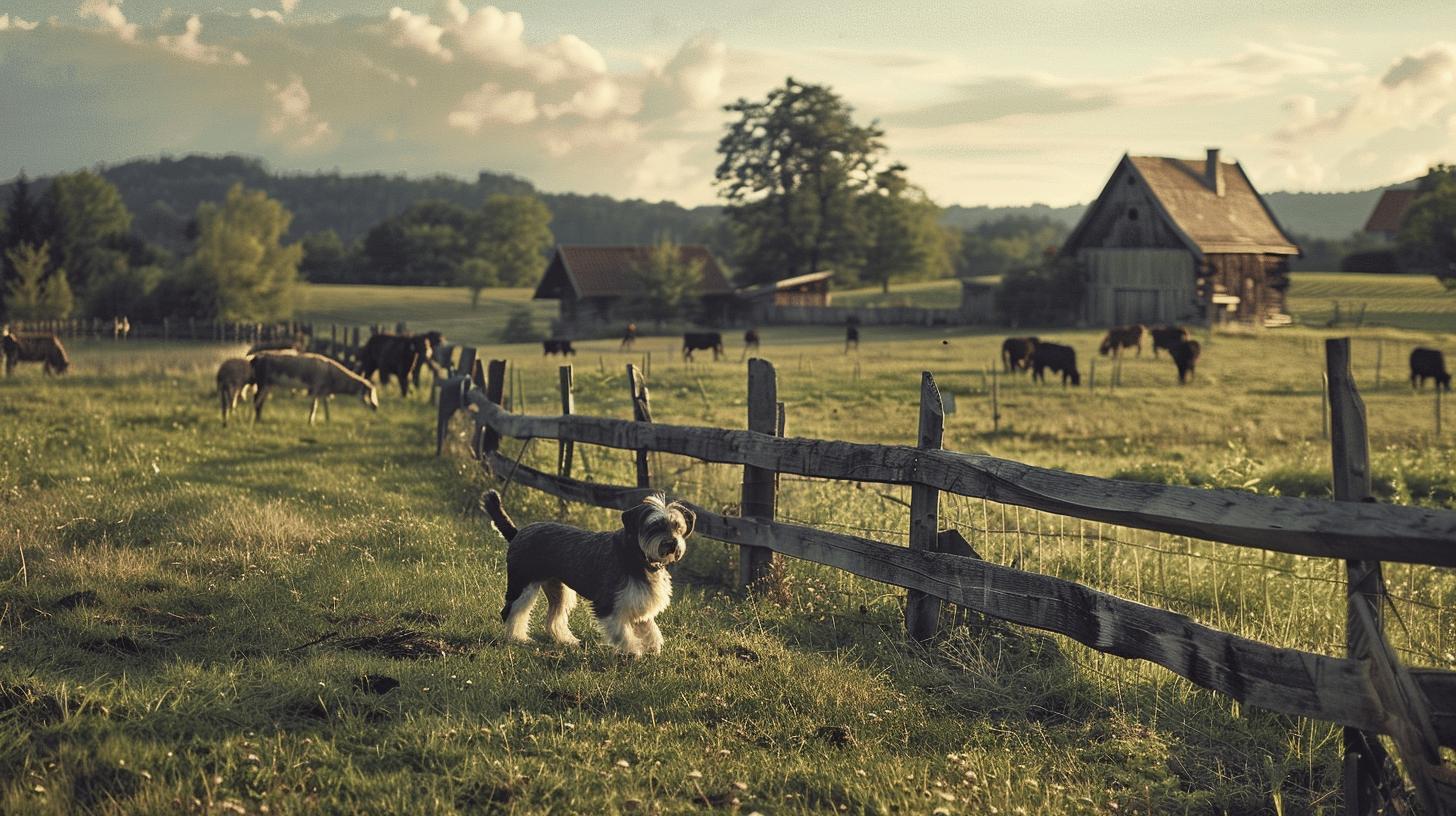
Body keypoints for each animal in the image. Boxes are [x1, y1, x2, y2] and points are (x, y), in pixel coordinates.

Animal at [250, 352, 378, 422]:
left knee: (260, 401)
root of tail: (257, 357)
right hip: (262, 382)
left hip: (268, 384)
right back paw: (253, 419)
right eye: (369, 393)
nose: (376, 407)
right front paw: (310, 422)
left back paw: (258, 419)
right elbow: (314, 407)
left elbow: (326, 406)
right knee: (257, 400)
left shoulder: (323, 391)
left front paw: (328, 420)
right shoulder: (316, 388)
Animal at [483, 489, 693, 655]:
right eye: (655, 526)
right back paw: (517, 639)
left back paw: (566, 640)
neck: (636, 554)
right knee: (512, 612)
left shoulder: (638, 602)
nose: (672, 544)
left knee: (553, 619)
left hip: (560, 592)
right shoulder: (608, 604)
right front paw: (633, 652)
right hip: (522, 587)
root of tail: (517, 533)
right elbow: (623, 632)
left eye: (677, 527)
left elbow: (650, 629)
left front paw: (652, 648)